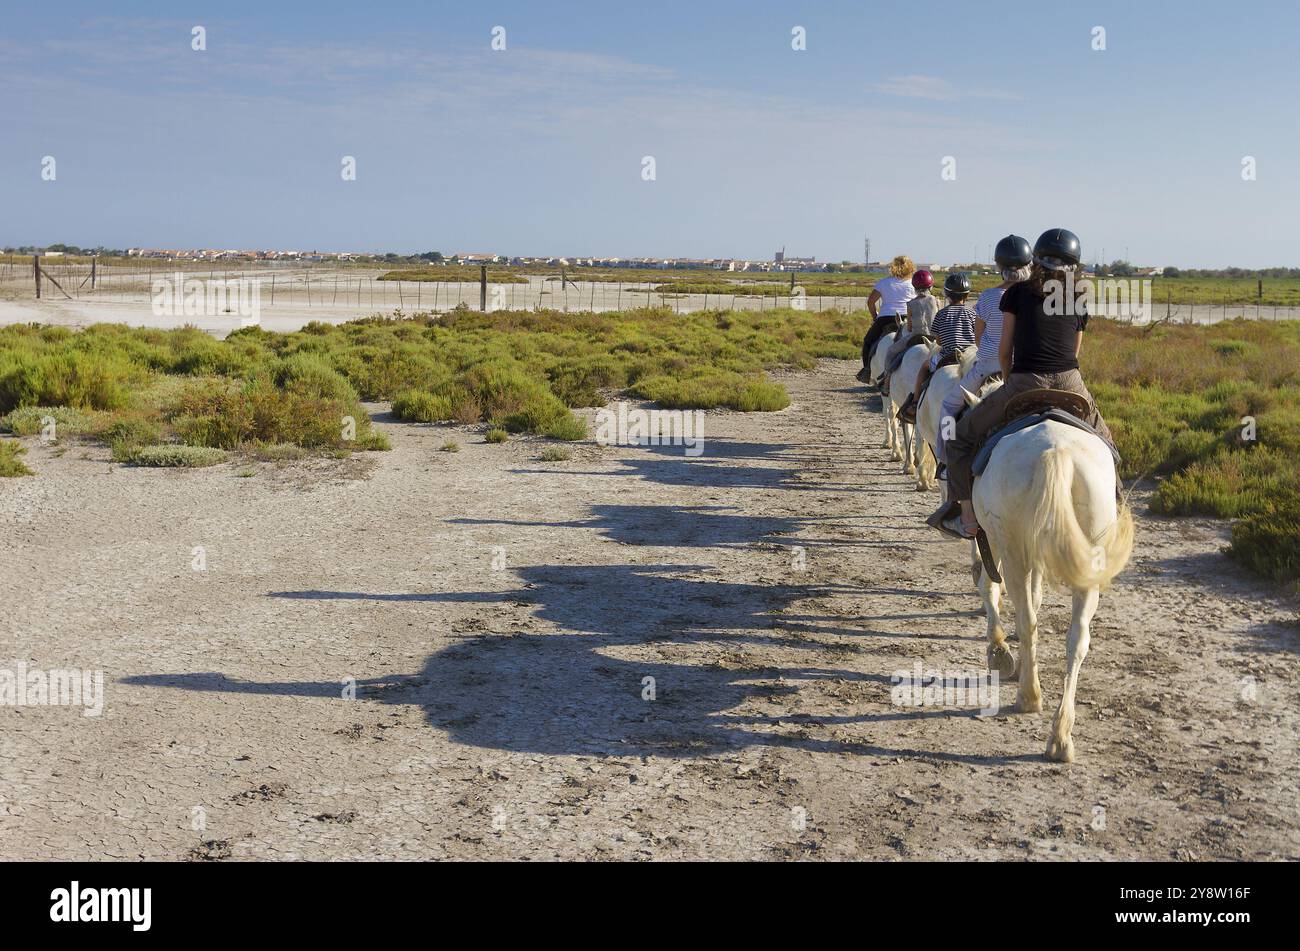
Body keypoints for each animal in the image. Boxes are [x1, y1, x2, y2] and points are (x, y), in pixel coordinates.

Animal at [967, 384, 1138, 758]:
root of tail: (1056, 451)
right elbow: (1036, 595)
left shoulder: (994, 542)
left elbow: (990, 587)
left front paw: (999, 652)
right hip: (1088, 564)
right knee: (1077, 639)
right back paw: (1060, 736)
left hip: (1012, 550)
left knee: (1027, 620)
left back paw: (1029, 697)